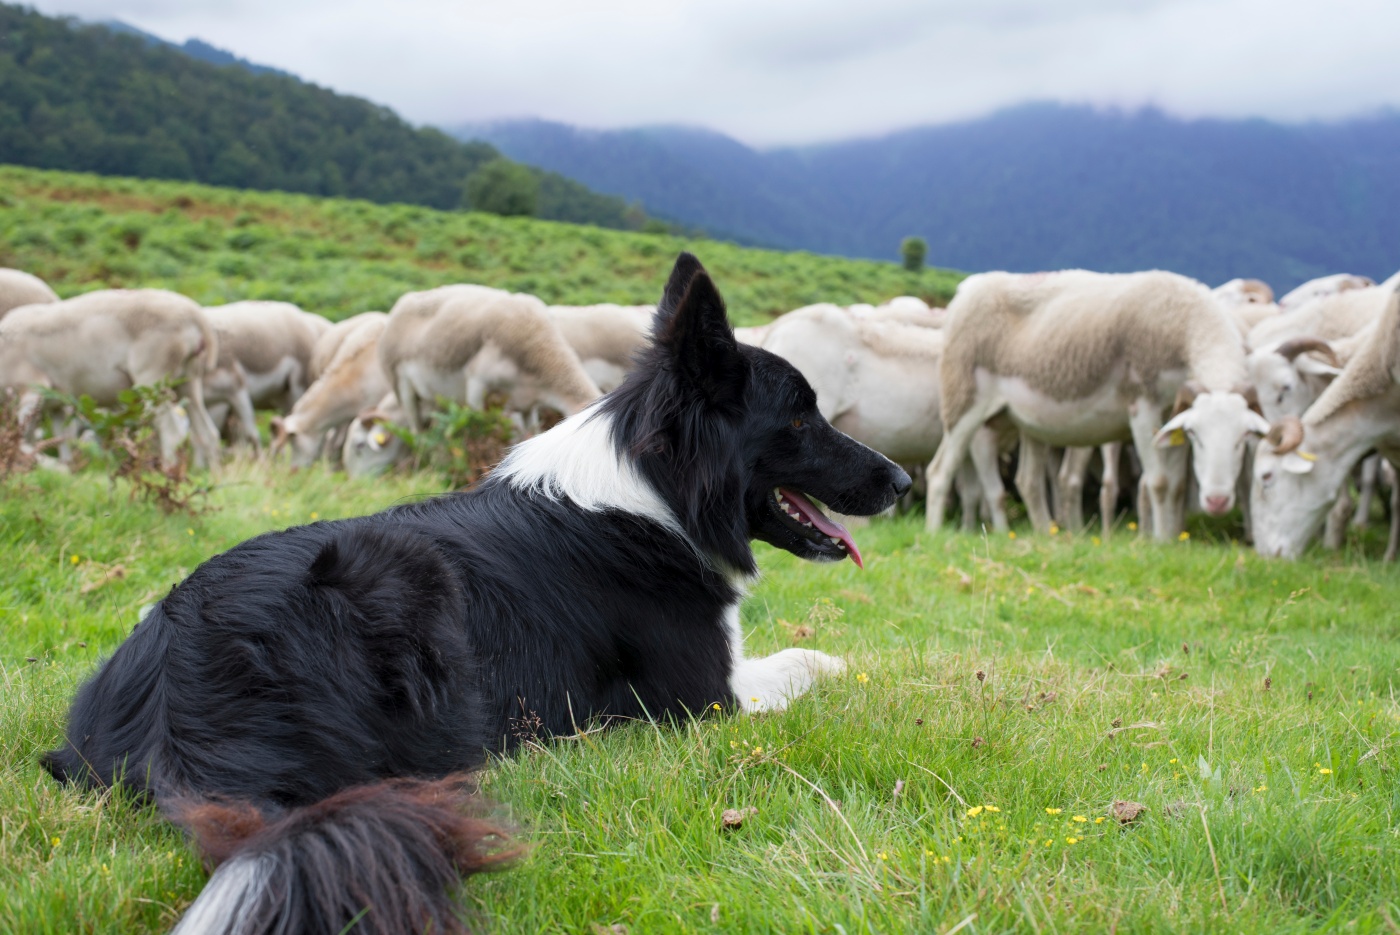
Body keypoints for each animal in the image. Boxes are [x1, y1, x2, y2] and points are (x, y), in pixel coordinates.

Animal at [0, 286, 219, 464]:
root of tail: (195, 317)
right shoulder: (56, 405)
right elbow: (61, 443)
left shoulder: (30, 388)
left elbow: (21, 437)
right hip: (189, 381)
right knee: (208, 434)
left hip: (153, 379)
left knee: (171, 432)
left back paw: (166, 474)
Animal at [378, 282, 602, 433]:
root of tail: (404, 300)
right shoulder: (477, 383)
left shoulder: (528, 406)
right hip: (401, 386)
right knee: (416, 429)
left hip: (435, 396)